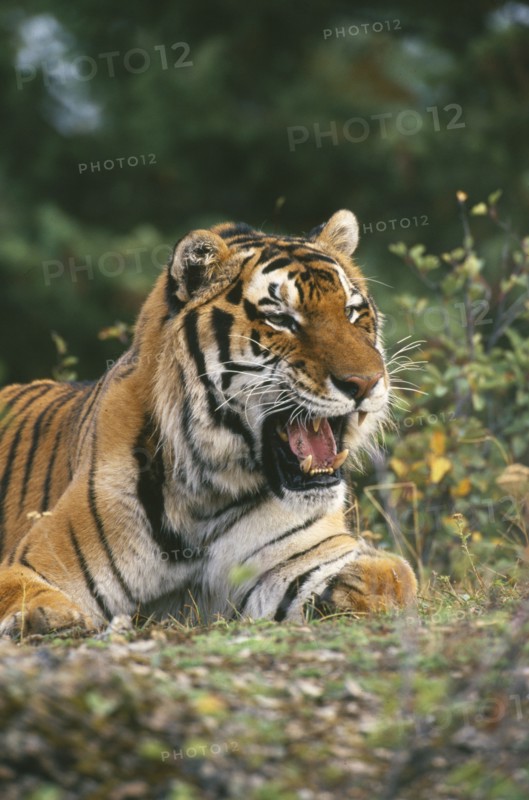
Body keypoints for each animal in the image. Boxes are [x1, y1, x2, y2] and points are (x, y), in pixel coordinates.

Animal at [0, 209, 417, 636]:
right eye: (281, 319)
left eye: (351, 312)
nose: (366, 382)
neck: (208, 496)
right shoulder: (32, 561)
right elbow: (25, 591)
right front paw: (49, 618)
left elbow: (395, 575)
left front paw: (345, 588)